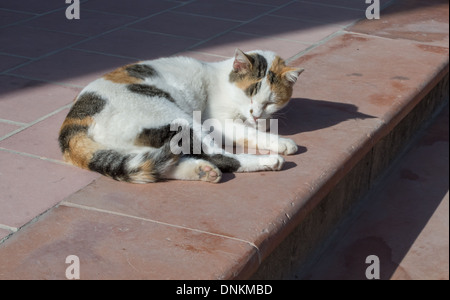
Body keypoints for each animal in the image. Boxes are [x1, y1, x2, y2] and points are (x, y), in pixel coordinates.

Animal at [58, 49, 304, 183]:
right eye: (249, 93)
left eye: (271, 101)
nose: (256, 113)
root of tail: (72, 124)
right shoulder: (218, 122)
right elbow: (249, 133)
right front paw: (281, 142)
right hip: (177, 117)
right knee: (218, 155)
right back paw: (269, 161)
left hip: (139, 149)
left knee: (156, 166)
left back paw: (202, 172)